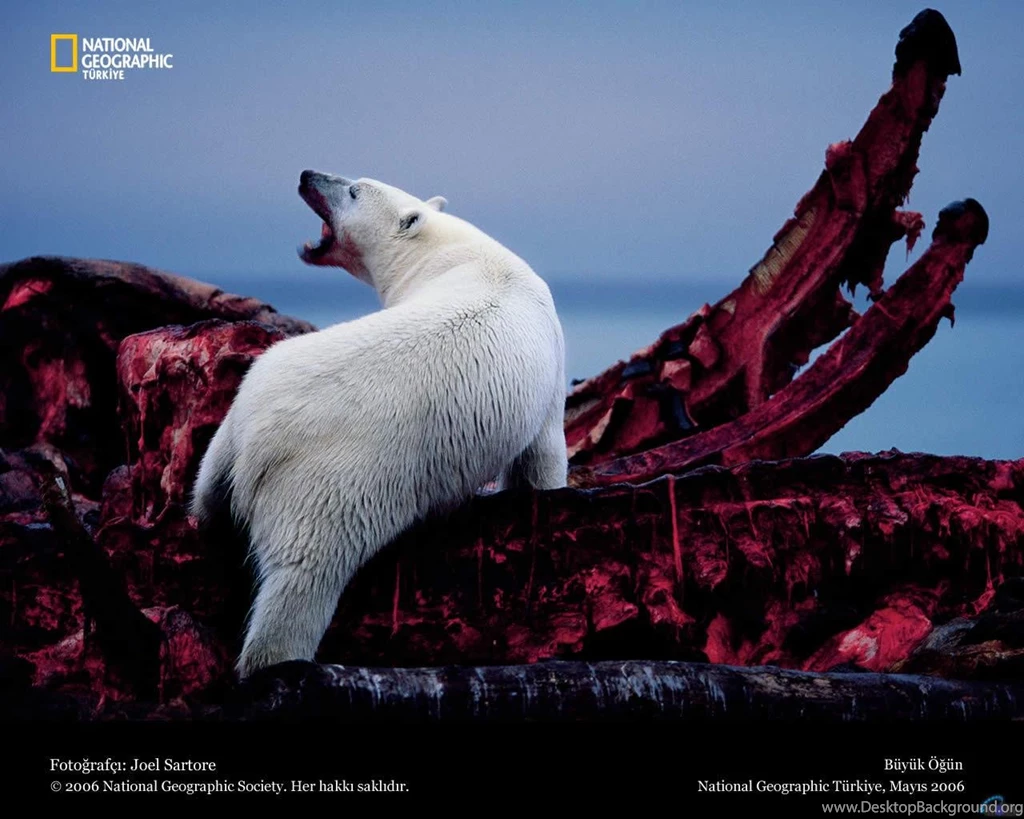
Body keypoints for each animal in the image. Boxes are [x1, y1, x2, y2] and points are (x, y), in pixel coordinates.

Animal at [191, 170, 568, 677]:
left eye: (352, 188)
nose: (307, 175)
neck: (450, 254)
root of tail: (263, 437)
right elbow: (543, 454)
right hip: (333, 485)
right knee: (303, 579)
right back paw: (273, 662)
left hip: (242, 409)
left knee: (207, 490)